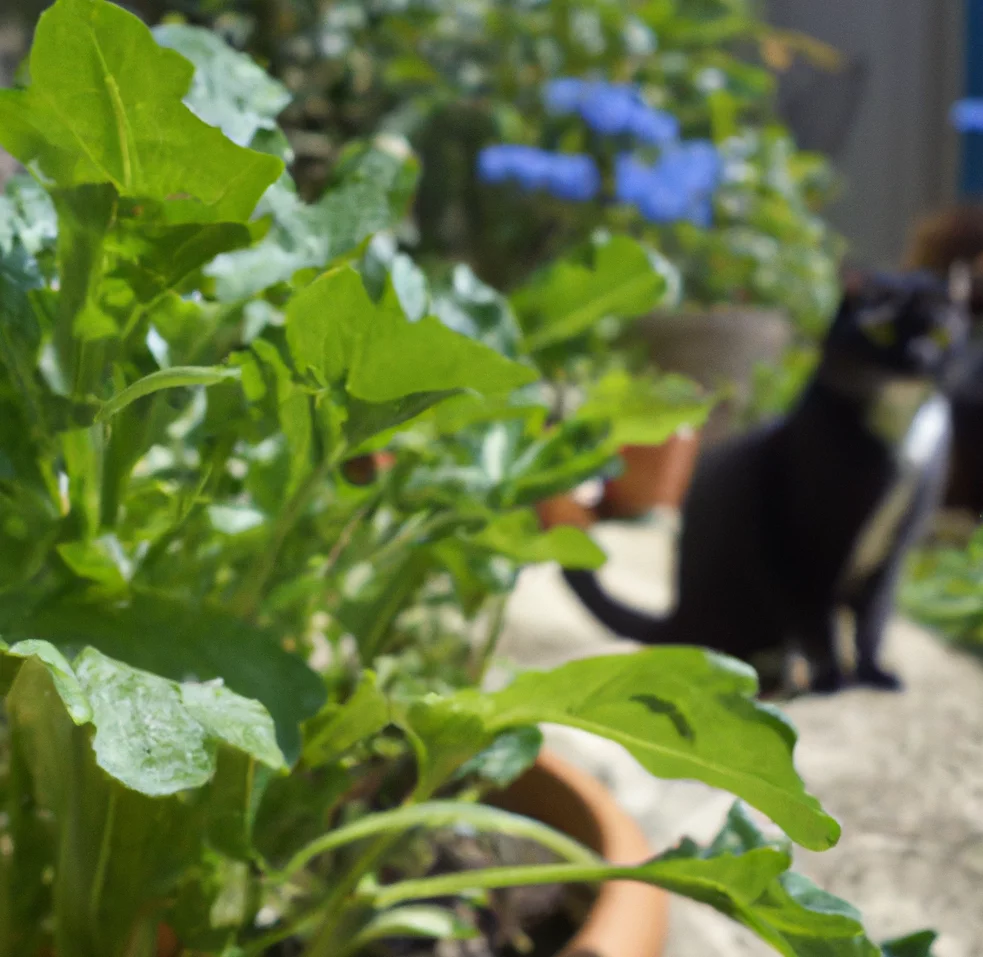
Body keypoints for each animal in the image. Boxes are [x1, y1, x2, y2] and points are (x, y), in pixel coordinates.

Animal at [568, 272, 968, 692]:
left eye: (940, 332)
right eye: (882, 330)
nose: (918, 357)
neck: (900, 432)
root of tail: (679, 613)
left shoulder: (893, 551)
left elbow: (874, 620)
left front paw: (872, 673)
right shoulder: (798, 543)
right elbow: (816, 621)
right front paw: (834, 680)